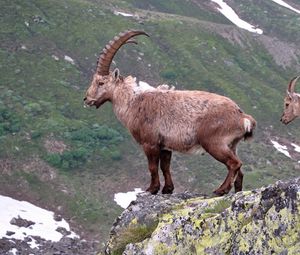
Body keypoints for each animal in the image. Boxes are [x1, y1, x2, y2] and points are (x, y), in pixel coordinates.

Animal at [83, 30, 256, 196]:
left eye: (101, 82)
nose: (86, 99)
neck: (133, 102)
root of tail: (242, 116)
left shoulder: (150, 143)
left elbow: (152, 167)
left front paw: (152, 189)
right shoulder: (165, 146)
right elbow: (165, 167)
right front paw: (168, 189)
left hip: (214, 143)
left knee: (234, 164)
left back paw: (221, 190)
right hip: (232, 145)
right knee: (240, 171)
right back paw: (236, 192)